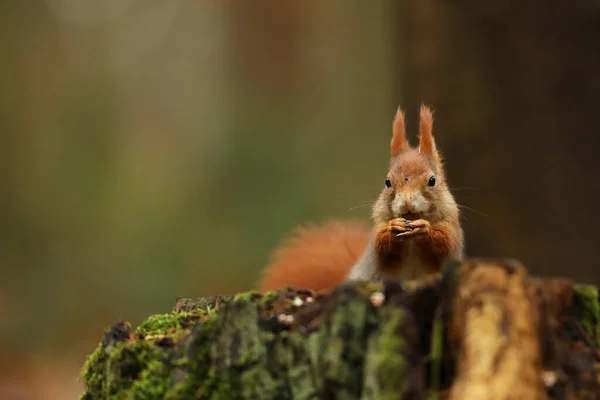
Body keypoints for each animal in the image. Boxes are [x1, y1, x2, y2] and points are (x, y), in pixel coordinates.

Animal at [258, 104, 464, 292]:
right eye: (387, 181)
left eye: (432, 180)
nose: (407, 202)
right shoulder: (378, 229)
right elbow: (381, 251)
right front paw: (393, 227)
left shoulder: (451, 225)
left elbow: (445, 245)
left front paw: (424, 228)